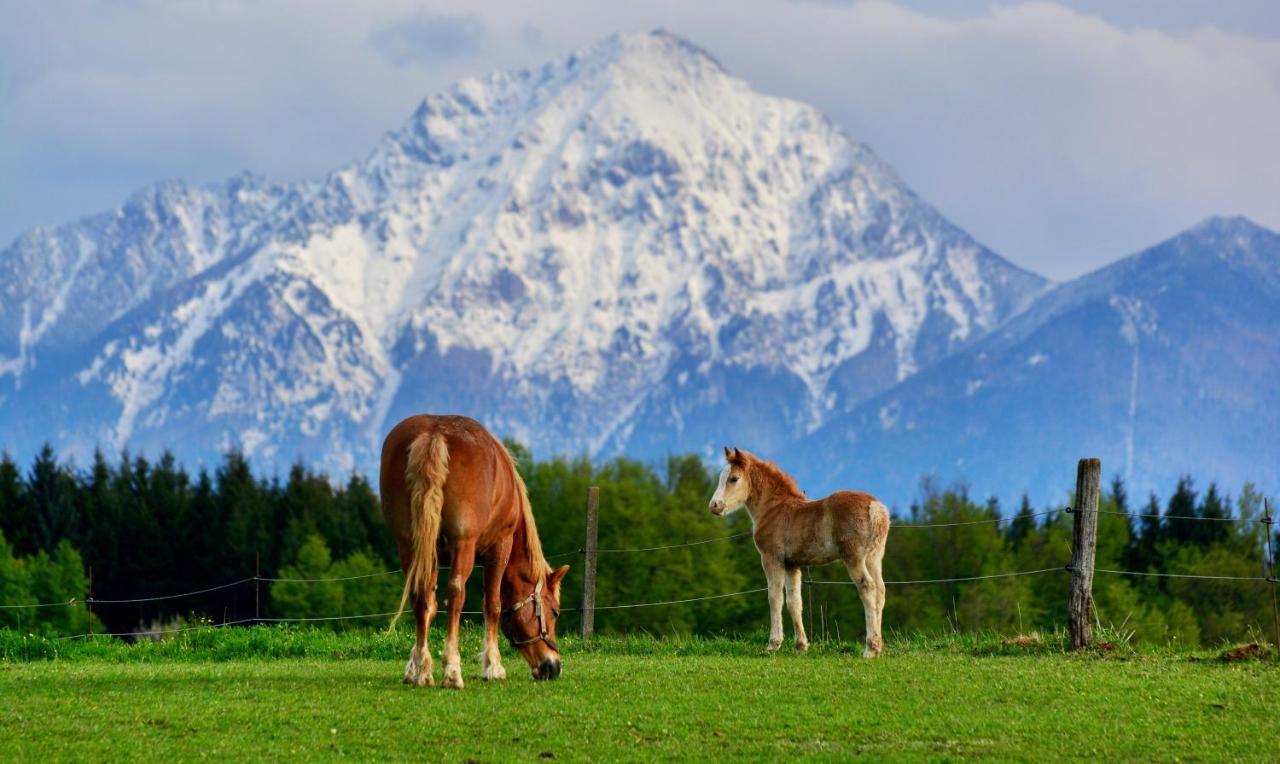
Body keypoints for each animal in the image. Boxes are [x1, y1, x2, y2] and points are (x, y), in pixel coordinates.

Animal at [373, 414, 565, 685]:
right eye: (555, 612)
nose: (553, 666)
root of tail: (434, 433)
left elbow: (430, 607)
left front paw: (415, 667)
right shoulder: (499, 546)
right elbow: (492, 604)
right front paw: (493, 666)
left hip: (409, 545)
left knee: (420, 597)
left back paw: (422, 671)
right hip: (463, 544)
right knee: (456, 594)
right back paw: (453, 671)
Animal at [711, 447, 890, 655]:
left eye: (734, 478)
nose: (714, 505)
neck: (773, 508)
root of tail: (875, 507)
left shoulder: (772, 558)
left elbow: (775, 597)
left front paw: (773, 644)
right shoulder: (792, 564)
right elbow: (794, 602)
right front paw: (801, 646)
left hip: (853, 557)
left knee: (867, 587)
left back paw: (870, 649)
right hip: (874, 557)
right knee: (880, 590)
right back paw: (878, 647)